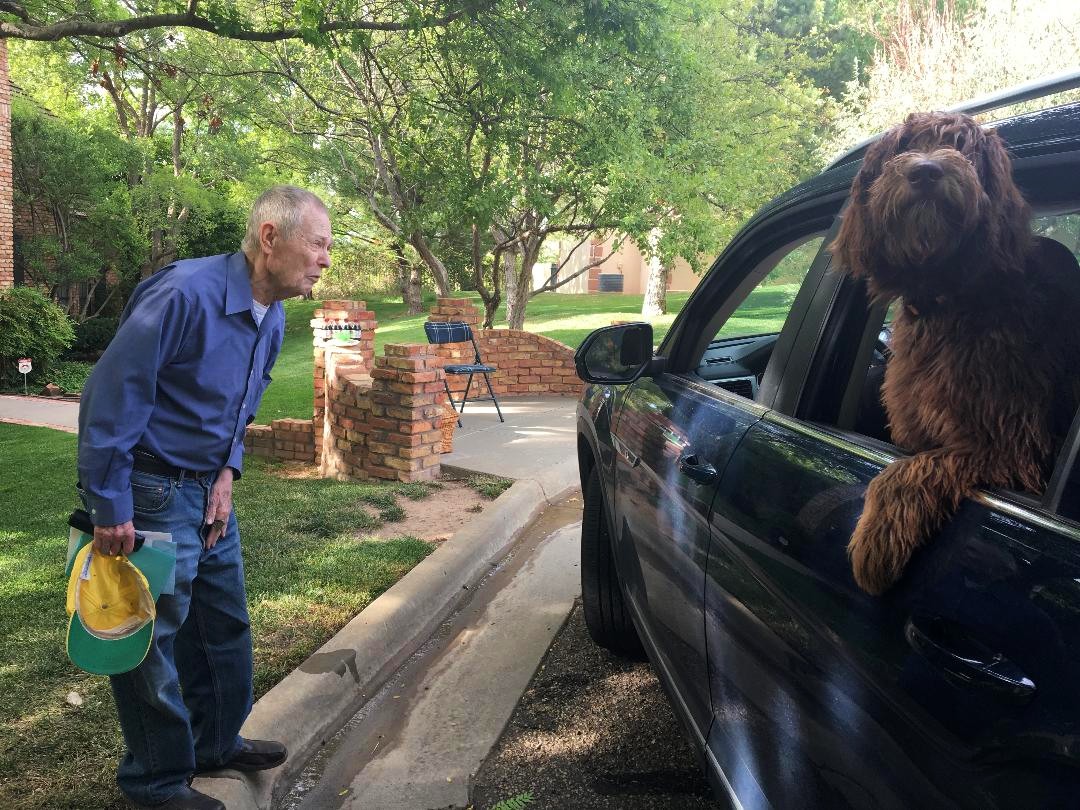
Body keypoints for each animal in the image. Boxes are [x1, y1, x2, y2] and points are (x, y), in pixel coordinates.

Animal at [829, 111, 1075, 596]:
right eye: (905, 146)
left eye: (962, 147)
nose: (925, 172)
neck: (947, 298)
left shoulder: (1011, 447)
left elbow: (915, 468)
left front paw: (876, 540)